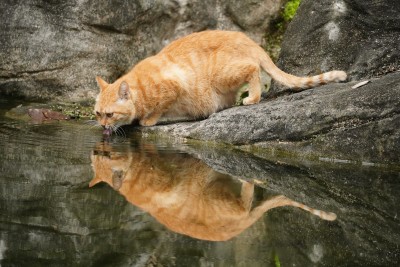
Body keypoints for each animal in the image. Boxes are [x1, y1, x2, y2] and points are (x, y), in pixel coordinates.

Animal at [94, 30, 346, 132]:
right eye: (98, 113)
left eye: (110, 114)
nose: (102, 126)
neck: (140, 88)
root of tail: (250, 40)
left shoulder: (174, 87)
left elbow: (158, 109)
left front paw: (148, 120)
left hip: (224, 74)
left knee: (253, 70)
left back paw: (252, 98)